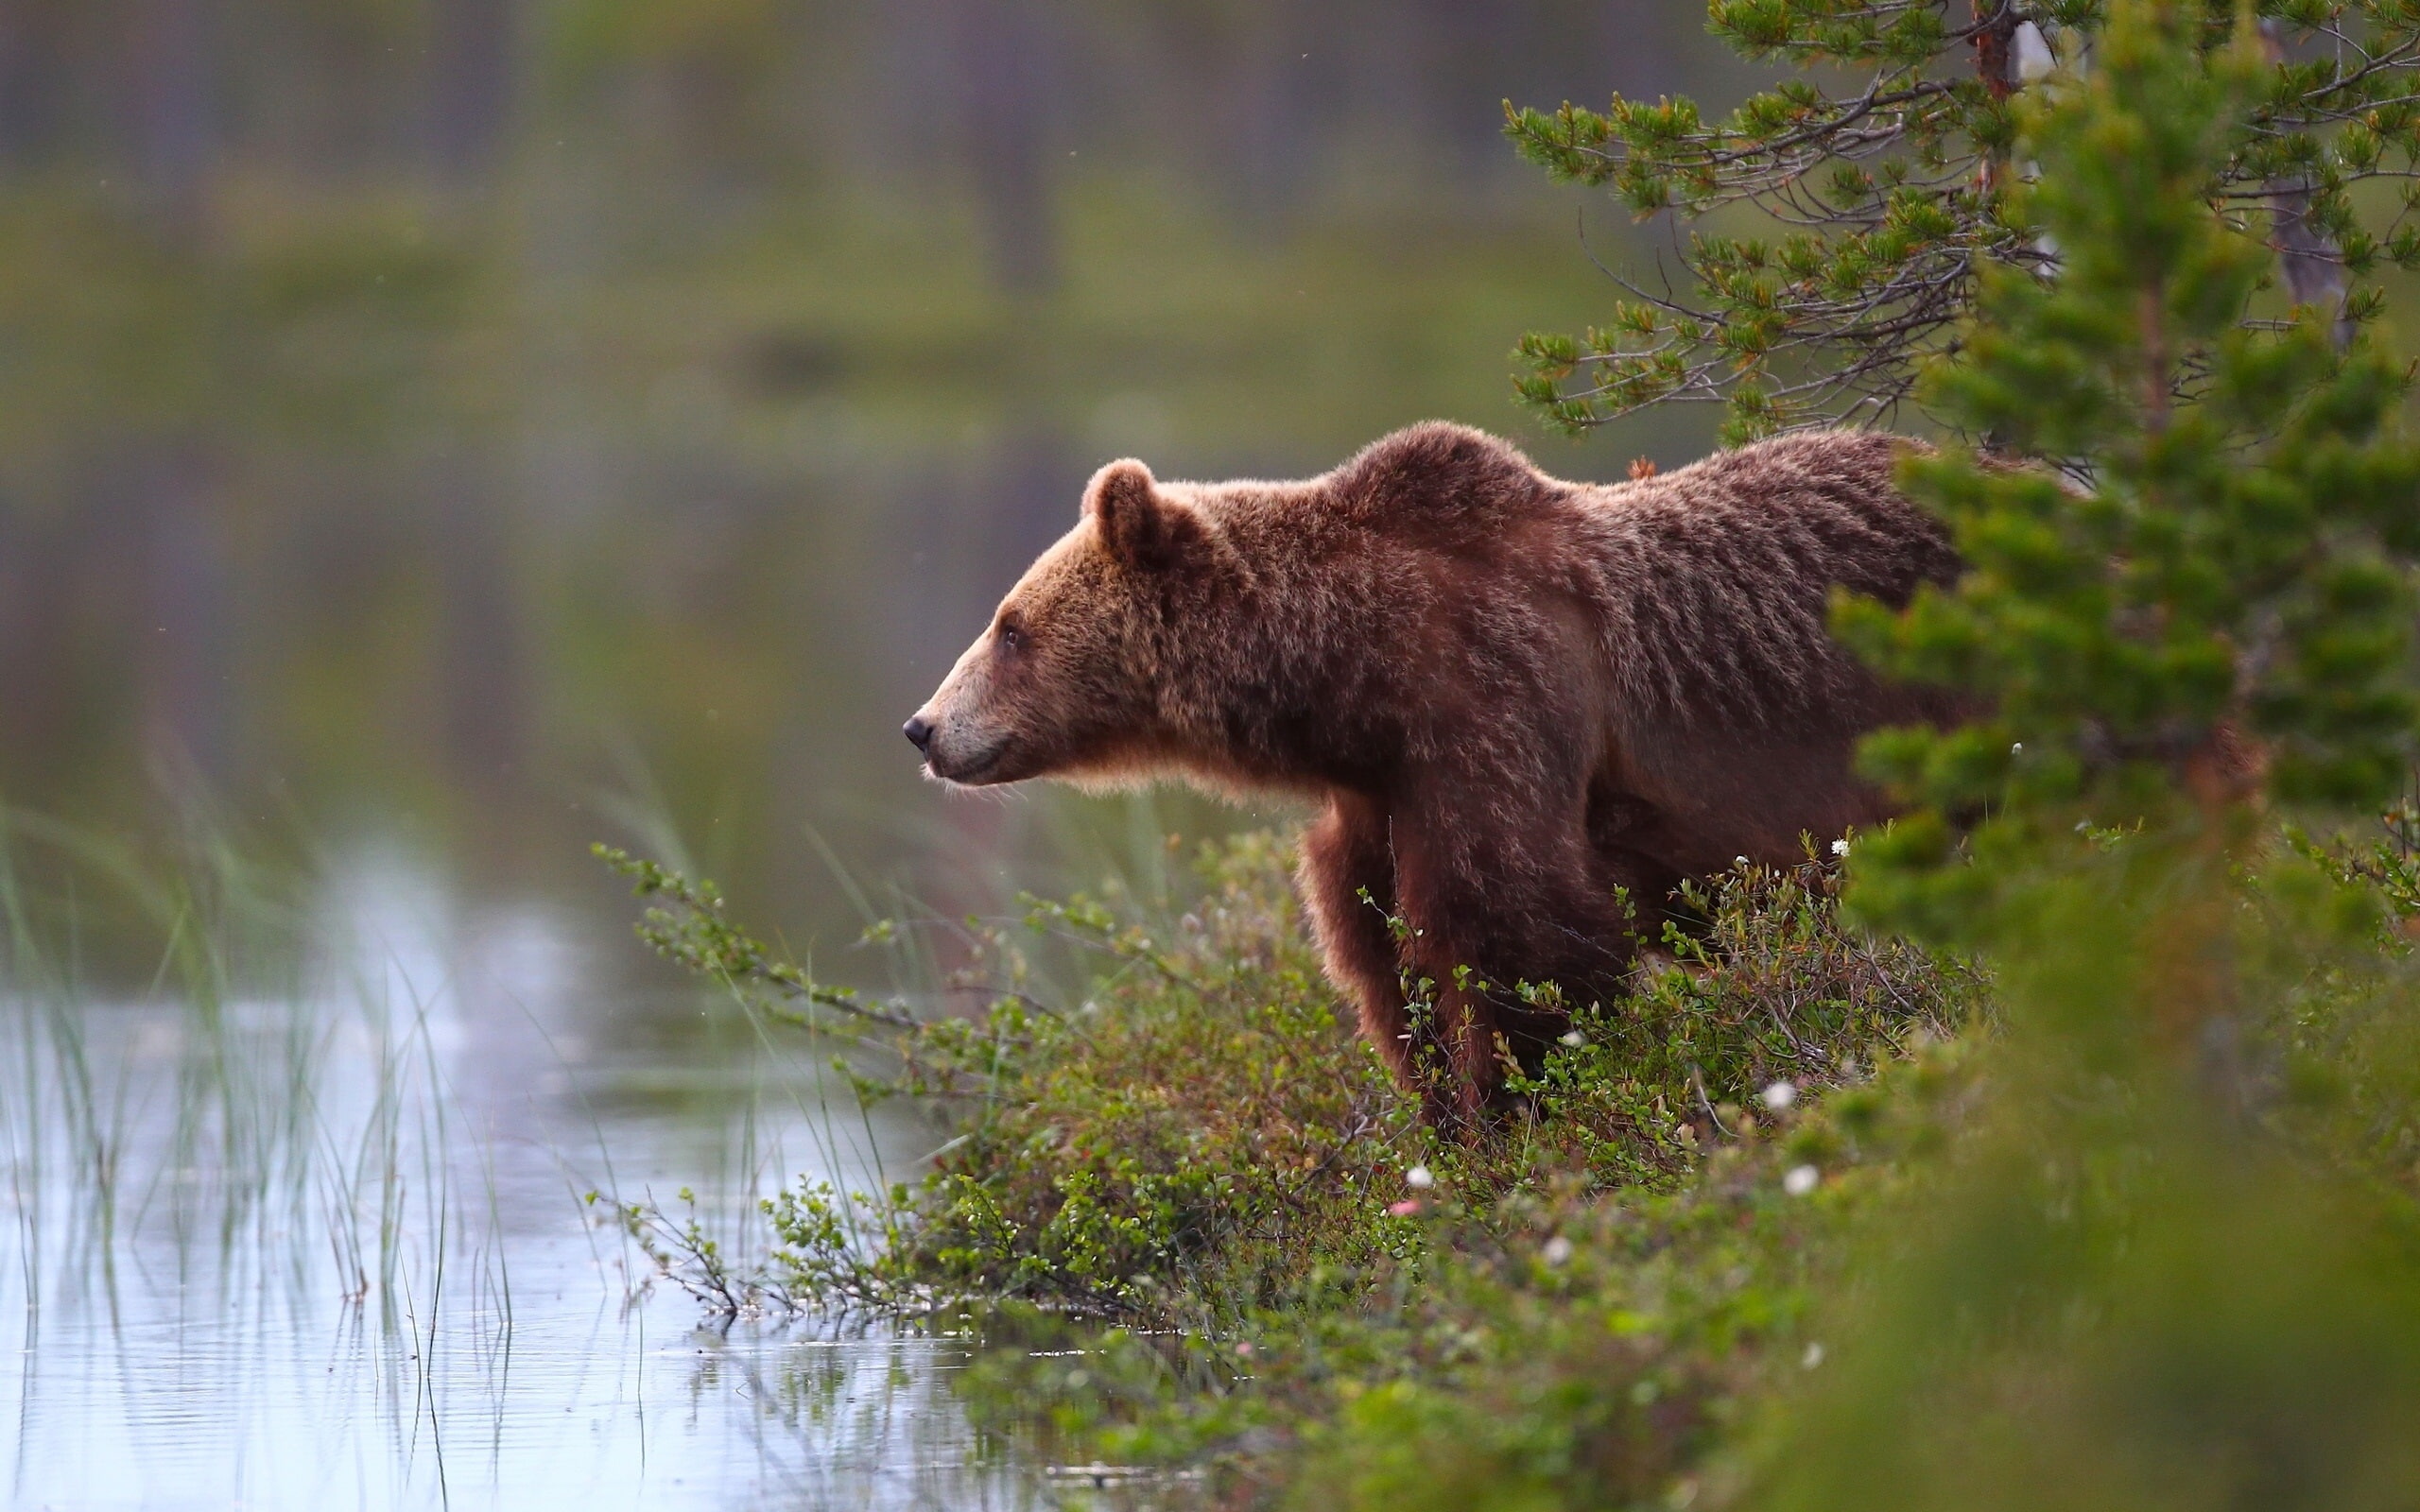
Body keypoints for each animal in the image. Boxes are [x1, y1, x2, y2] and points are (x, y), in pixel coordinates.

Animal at [904, 423, 1965, 1129]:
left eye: (1010, 625)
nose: (922, 728)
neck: (1354, 676)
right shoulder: (1380, 795)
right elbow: (1379, 951)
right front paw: (1441, 1110)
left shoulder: (1494, 706)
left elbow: (1520, 931)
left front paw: (1518, 1106)